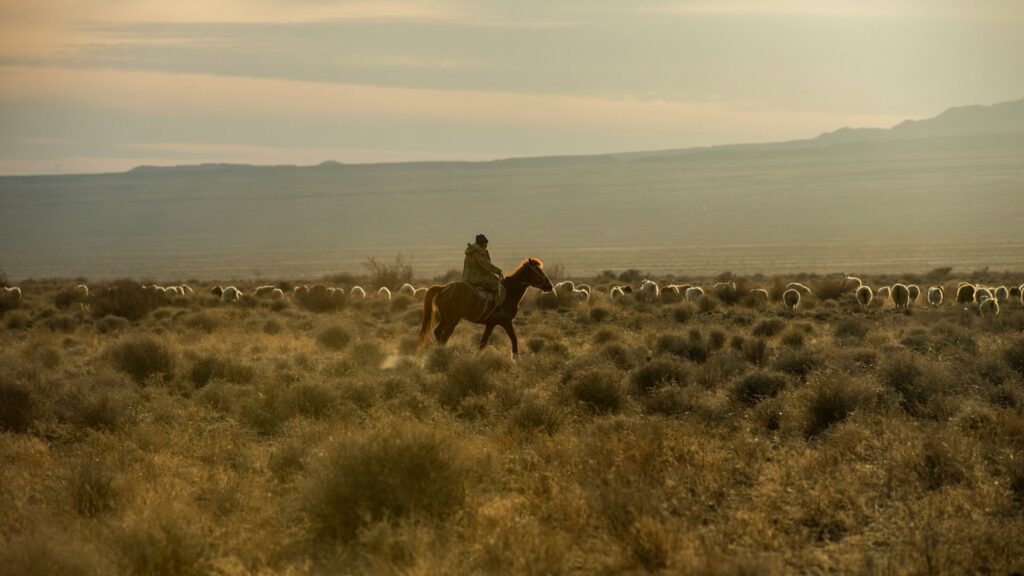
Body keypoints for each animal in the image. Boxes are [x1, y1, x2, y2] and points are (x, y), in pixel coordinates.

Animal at [417, 258, 557, 356]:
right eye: (539, 271)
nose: (549, 286)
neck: (509, 292)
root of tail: (443, 288)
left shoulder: (491, 324)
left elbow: (483, 342)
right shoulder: (506, 321)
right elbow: (514, 339)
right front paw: (516, 360)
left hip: (446, 318)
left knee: (438, 332)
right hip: (453, 319)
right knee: (444, 336)